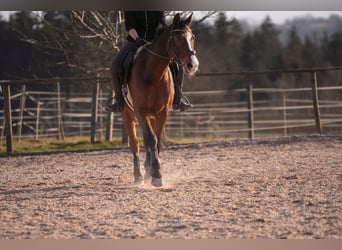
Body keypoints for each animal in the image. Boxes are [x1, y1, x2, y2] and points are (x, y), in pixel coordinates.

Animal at [116, 12, 199, 187]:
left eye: (192, 37)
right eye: (177, 39)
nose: (192, 65)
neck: (153, 72)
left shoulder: (162, 112)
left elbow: (157, 140)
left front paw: (154, 172)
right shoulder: (140, 111)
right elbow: (150, 139)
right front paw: (156, 174)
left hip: (152, 115)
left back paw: (147, 169)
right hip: (128, 113)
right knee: (135, 143)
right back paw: (139, 175)